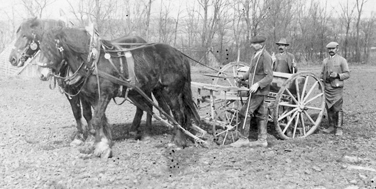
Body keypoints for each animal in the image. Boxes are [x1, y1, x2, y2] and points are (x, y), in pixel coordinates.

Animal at [8, 17, 170, 147]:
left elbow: (88, 113)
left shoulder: (83, 92)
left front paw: (93, 136)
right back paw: (134, 129)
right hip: (134, 90)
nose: (12, 59)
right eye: (40, 46)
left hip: (144, 87)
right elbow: (79, 113)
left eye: (24, 36)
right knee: (142, 106)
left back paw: (147, 132)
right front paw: (83, 136)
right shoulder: (74, 93)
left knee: (148, 105)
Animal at [38, 27, 201, 158]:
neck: (93, 61)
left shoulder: (104, 94)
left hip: (171, 91)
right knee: (168, 114)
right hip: (157, 90)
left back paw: (178, 143)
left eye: (51, 48)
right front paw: (101, 143)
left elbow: (96, 120)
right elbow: (98, 119)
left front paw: (97, 147)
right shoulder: (92, 97)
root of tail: (179, 55)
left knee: (178, 114)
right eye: (39, 47)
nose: (42, 73)